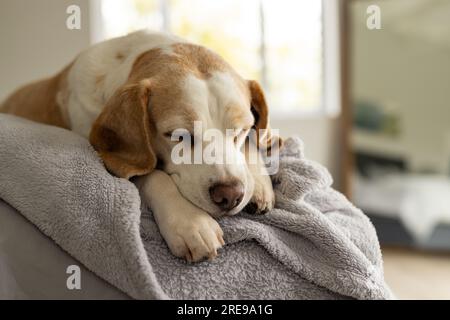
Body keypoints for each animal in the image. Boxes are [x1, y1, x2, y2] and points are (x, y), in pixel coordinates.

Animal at [0, 30, 282, 262]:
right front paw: (190, 223)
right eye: (178, 135)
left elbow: (255, 141)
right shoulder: (116, 159)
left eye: (241, 130)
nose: (230, 195)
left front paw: (259, 183)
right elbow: (153, 175)